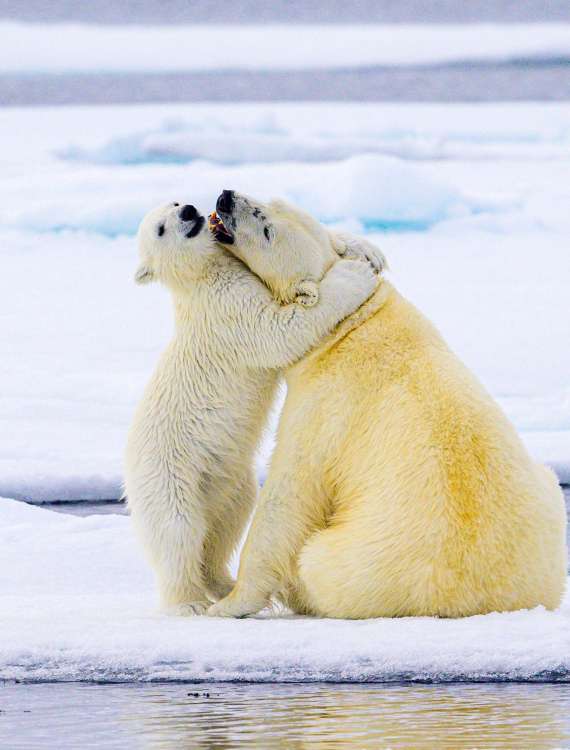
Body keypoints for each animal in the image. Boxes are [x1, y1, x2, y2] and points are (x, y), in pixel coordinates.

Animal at [123, 201, 378, 616]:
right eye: (161, 229)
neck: (203, 277)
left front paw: (367, 250)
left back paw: (223, 582)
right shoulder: (228, 312)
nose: (189, 210)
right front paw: (354, 275)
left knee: (225, 524)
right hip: (168, 476)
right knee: (177, 533)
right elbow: (279, 329)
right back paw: (188, 602)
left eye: (174, 203)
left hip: (225, 480)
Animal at [205, 191, 564, 620]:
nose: (226, 197)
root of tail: (482, 600)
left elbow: (289, 494)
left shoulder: (324, 406)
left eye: (266, 228)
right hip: (546, 507)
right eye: (270, 200)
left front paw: (229, 603)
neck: (351, 326)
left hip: (357, 563)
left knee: (314, 562)